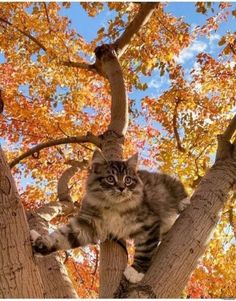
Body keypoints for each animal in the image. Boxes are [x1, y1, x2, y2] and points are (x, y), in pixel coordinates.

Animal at [30, 149, 190, 282]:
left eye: (127, 180)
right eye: (110, 179)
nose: (121, 188)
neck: (114, 207)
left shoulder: (148, 224)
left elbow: (145, 250)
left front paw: (136, 271)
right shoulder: (87, 225)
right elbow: (60, 237)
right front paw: (42, 244)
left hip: (170, 187)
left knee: (181, 193)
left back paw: (184, 203)